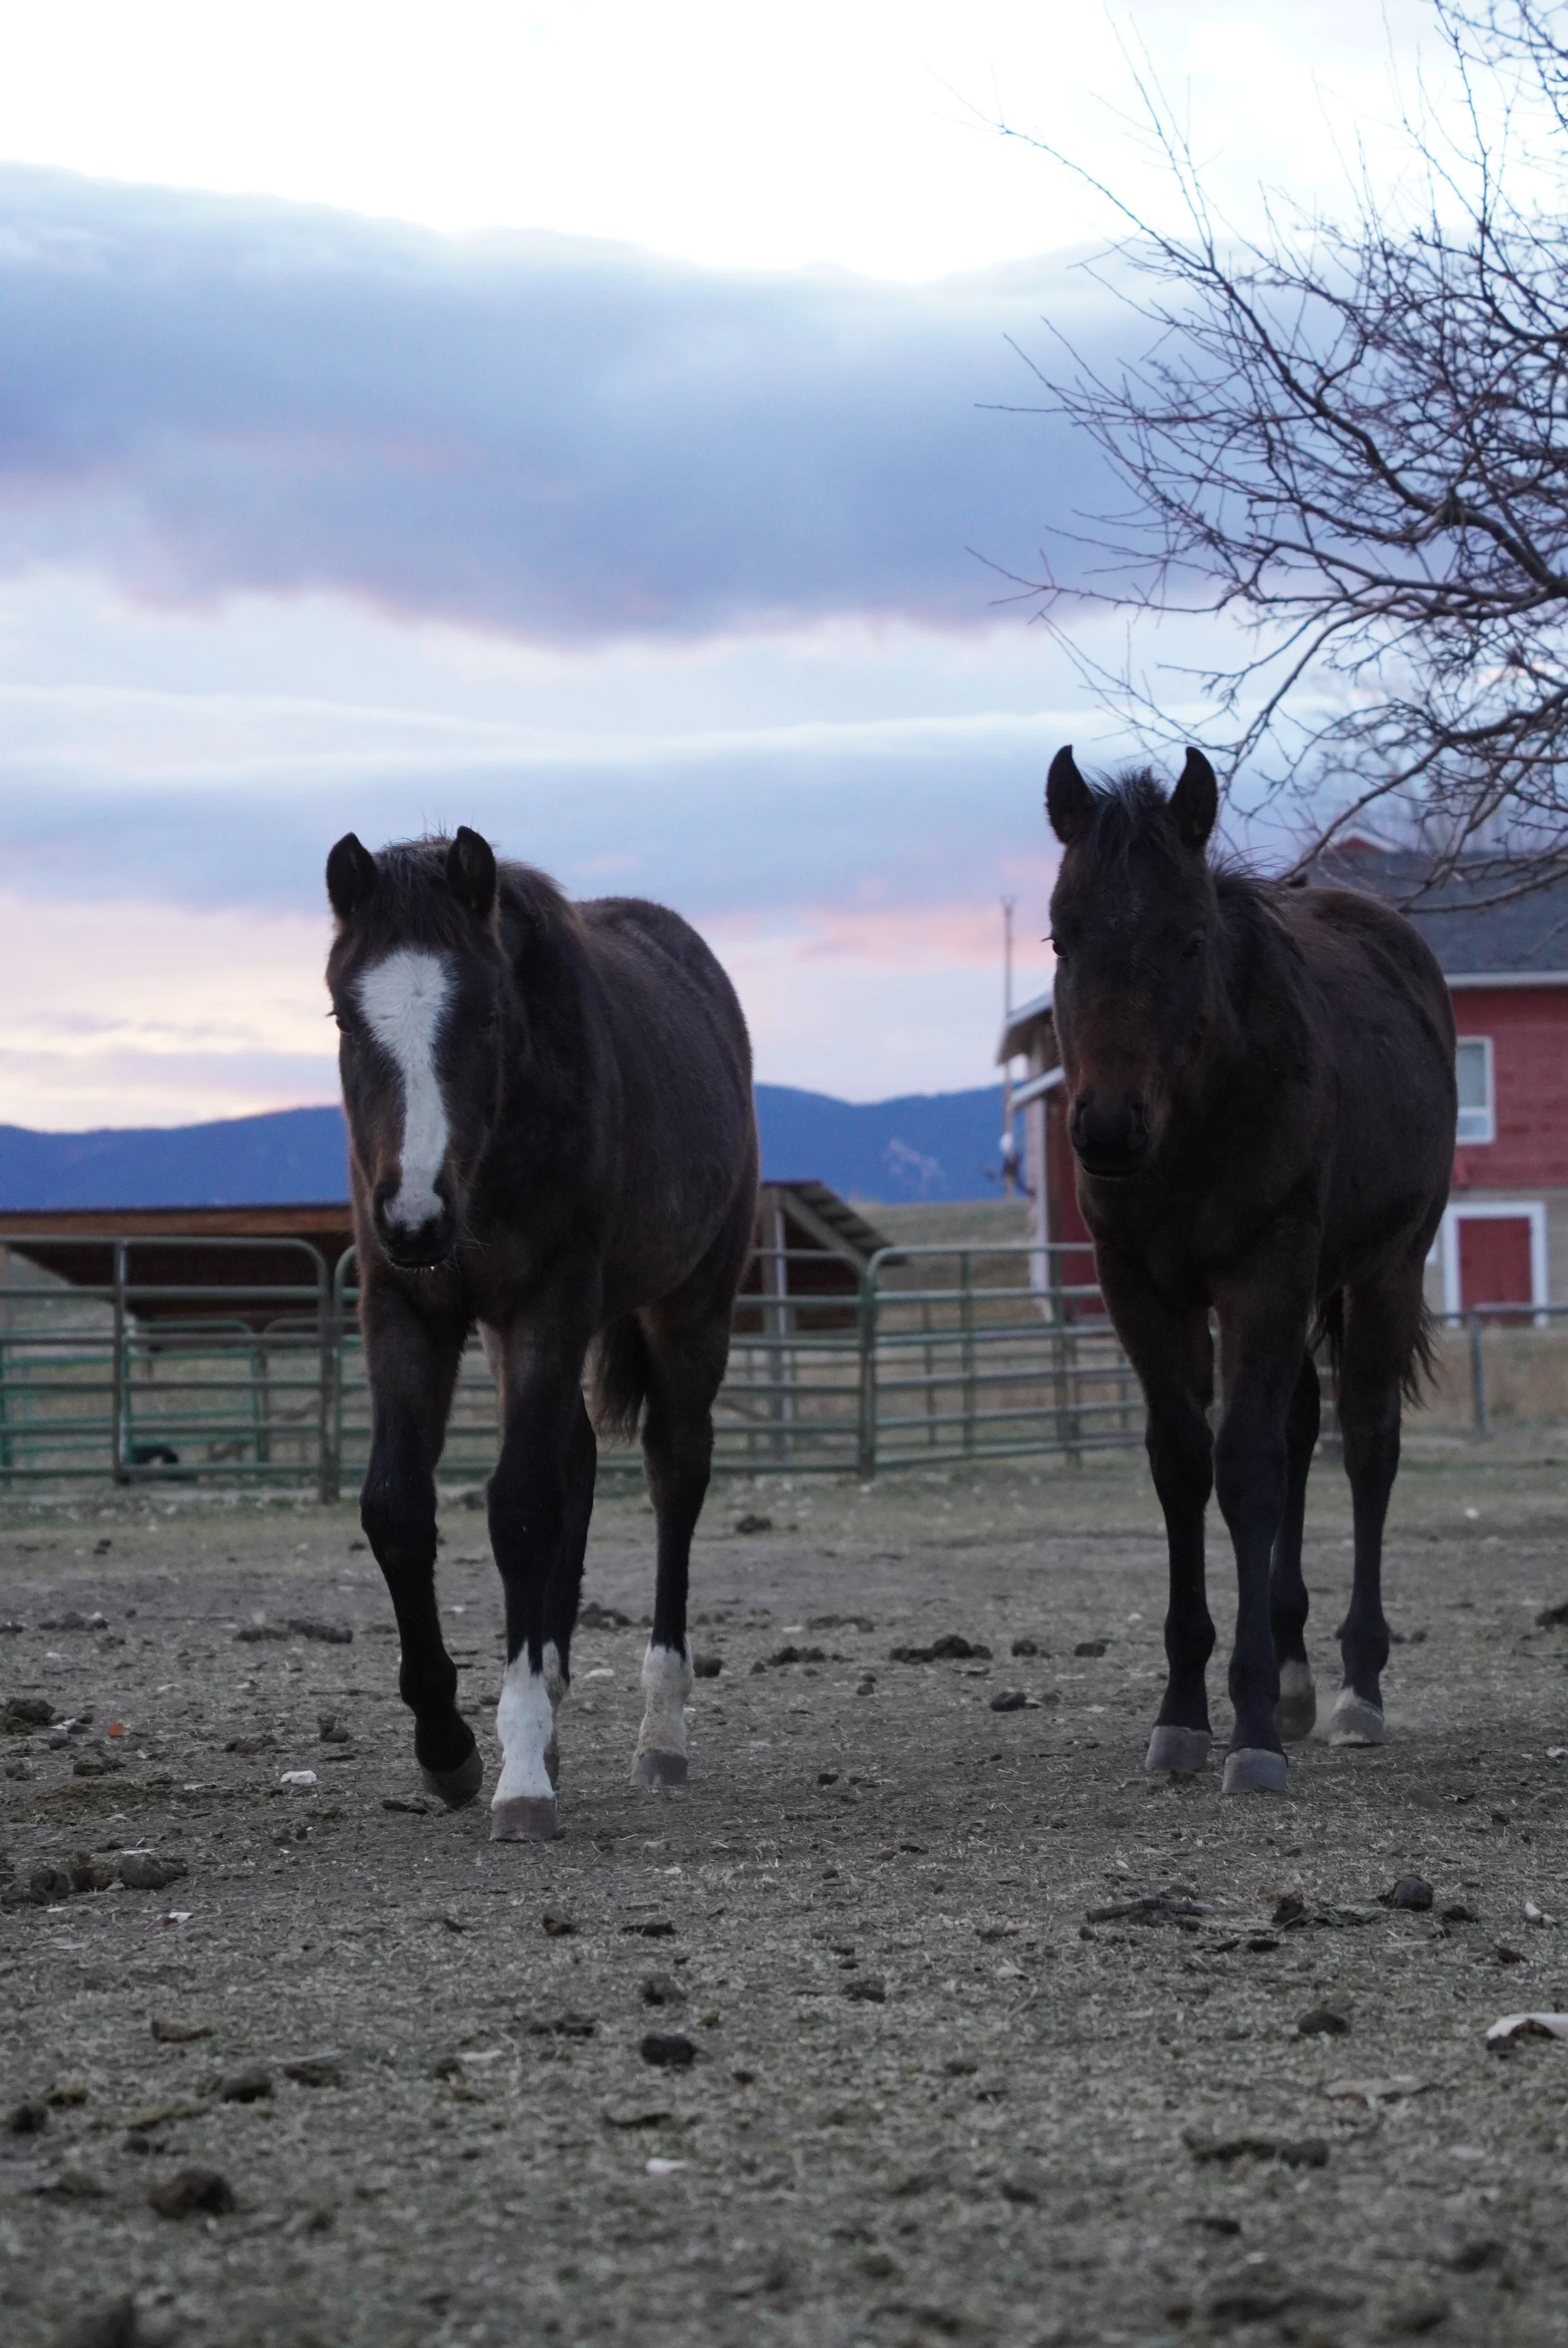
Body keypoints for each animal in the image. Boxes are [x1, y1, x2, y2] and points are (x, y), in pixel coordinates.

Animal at [324, 825, 758, 1841]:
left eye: (485, 1016)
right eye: (345, 1020)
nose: (415, 1219)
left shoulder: (550, 1299)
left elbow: (521, 1505)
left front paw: (519, 1770)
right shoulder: (407, 1308)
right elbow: (396, 1507)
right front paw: (448, 1746)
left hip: (689, 1306)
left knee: (675, 1471)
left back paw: (660, 1730)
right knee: (582, 1461)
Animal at [1045, 748, 1456, 1794]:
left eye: (1190, 940)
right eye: (1062, 936)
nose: (1108, 1128)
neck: (1196, 1120)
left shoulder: (1264, 1276)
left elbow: (1249, 1467)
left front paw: (1255, 1726)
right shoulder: (1143, 1289)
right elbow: (1184, 1463)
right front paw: (1185, 1714)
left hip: (1385, 1268)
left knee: (1366, 1442)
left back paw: (1357, 1689)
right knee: (1306, 1422)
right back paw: (1305, 1672)